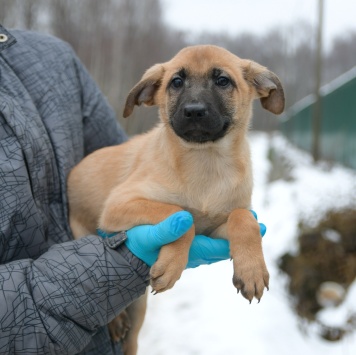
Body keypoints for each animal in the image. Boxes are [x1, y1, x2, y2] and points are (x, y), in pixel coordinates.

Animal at [66, 46, 284, 354]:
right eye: (176, 82)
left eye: (223, 81)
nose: (193, 111)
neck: (206, 163)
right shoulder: (118, 204)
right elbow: (183, 215)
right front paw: (172, 263)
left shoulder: (217, 228)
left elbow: (243, 219)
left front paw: (251, 270)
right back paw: (115, 320)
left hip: (139, 308)